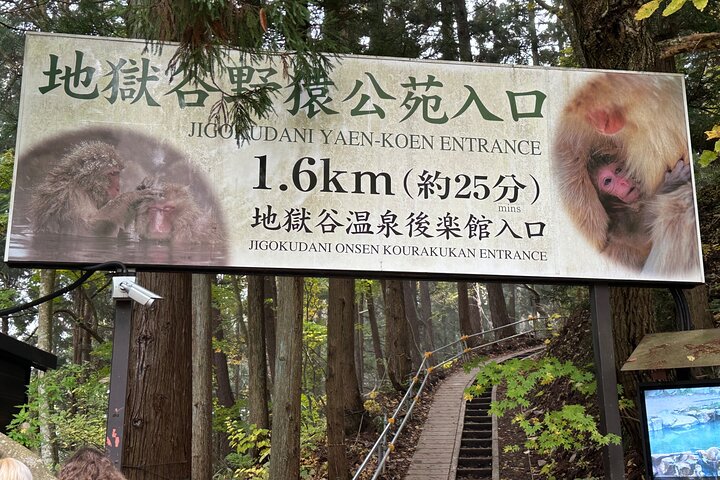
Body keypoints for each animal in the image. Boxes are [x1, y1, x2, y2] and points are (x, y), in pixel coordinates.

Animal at [29, 141, 158, 237]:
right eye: (113, 174)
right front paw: (132, 196)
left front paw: (142, 187)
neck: (85, 186)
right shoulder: (71, 197)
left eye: (118, 173)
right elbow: (87, 230)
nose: (118, 188)